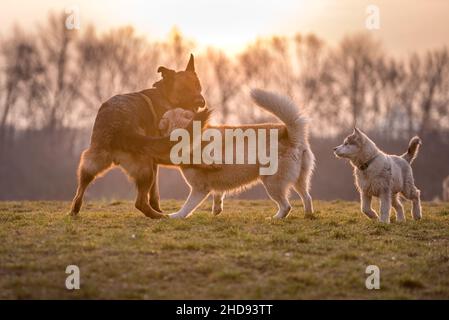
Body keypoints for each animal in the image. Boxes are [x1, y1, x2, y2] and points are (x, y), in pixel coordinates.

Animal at [70, 55, 205, 220]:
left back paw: (75, 210)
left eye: (197, 85)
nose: (201, 102)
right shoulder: (155, 161)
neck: (166, 95)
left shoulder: (154, 163)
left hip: (93, 161)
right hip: (146, 169)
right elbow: (154, 192)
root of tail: (119, 127)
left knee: (81, 188)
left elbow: (154, 193)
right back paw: (159, 216)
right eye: (184, 89)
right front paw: (159, 210)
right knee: (139, 203)